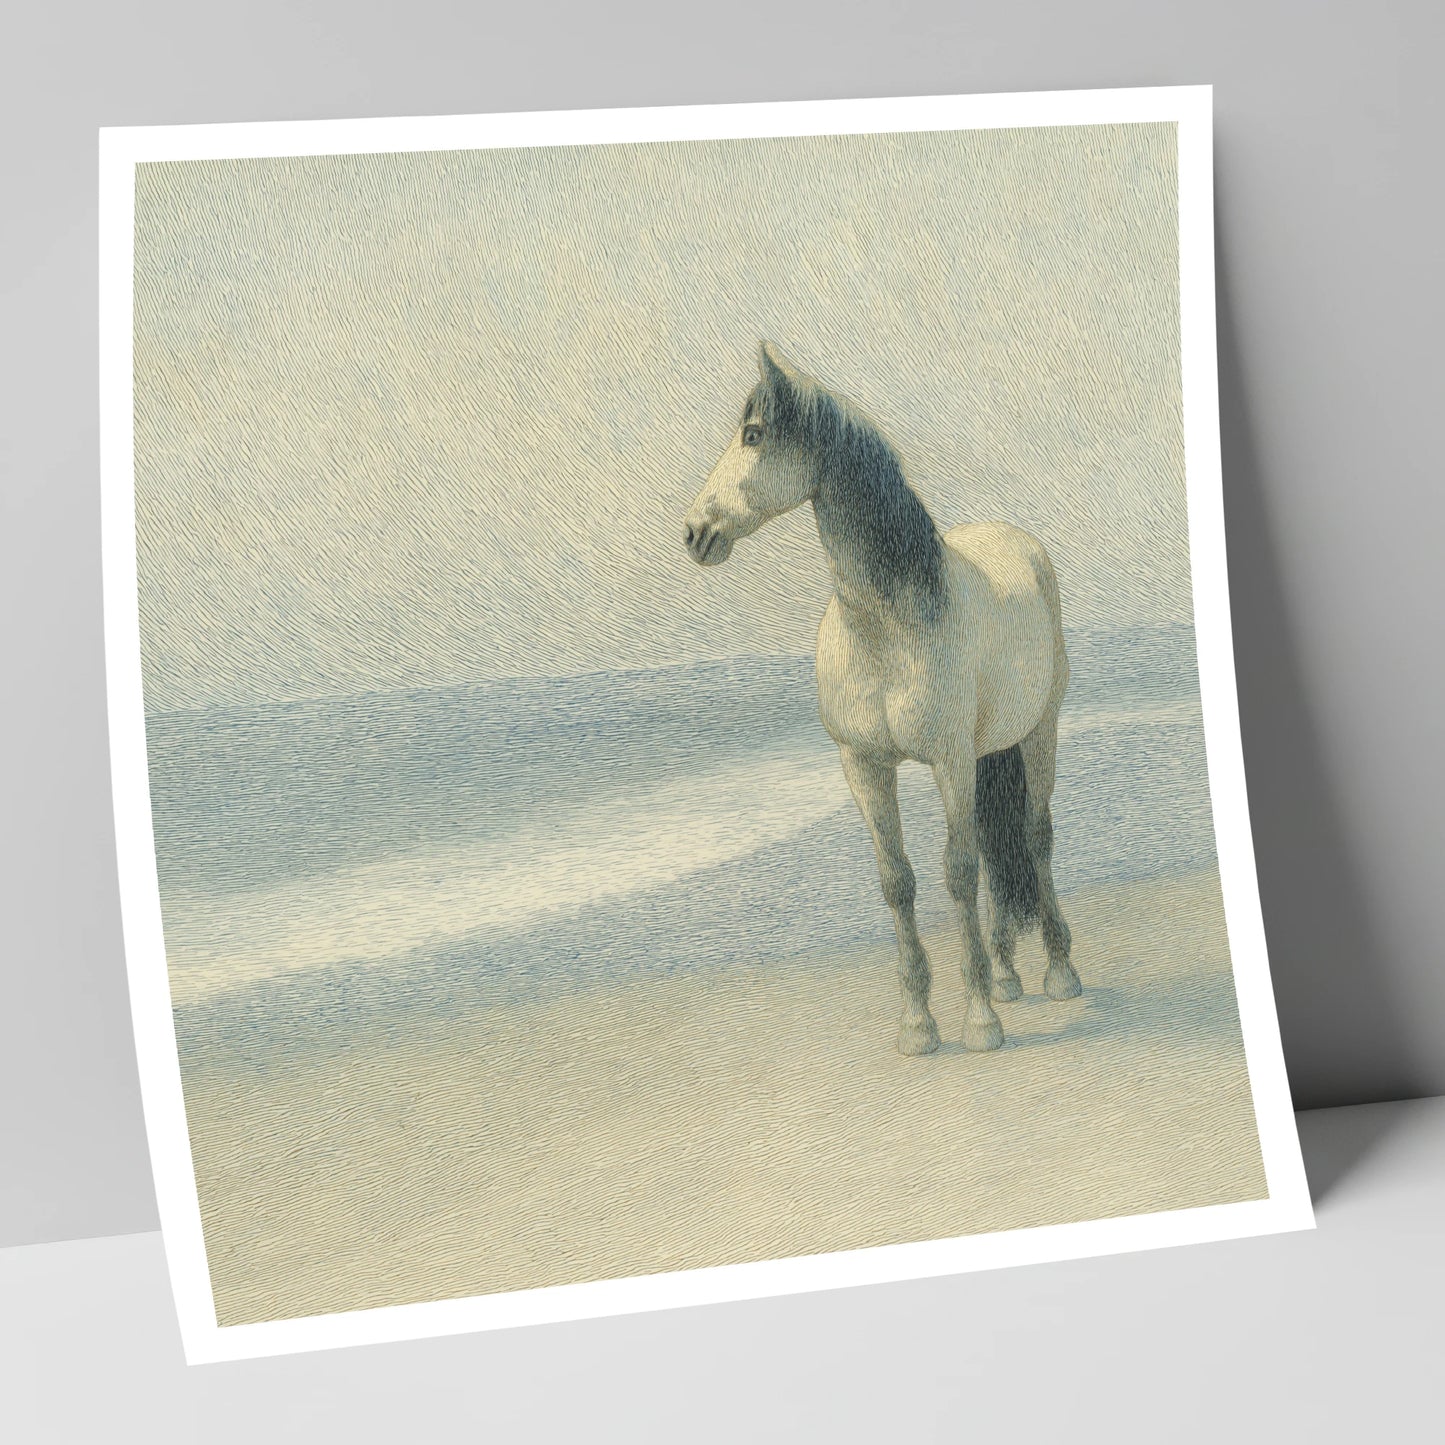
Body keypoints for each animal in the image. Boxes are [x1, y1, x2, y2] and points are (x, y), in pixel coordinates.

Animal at [683, 342, 1082, 1056]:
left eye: (753, 435)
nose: (696, 532)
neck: (887, 624)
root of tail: (1017, 541)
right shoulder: (864, 765)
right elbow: (898, 881)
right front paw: (918, 1025)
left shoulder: (949, 761)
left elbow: (958, 872)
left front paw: (978, 1021)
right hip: (991, 748)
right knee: (999, 849)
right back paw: (1009, 977)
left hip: (1039, 732)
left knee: (1035, 838)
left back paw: (1058, 972)